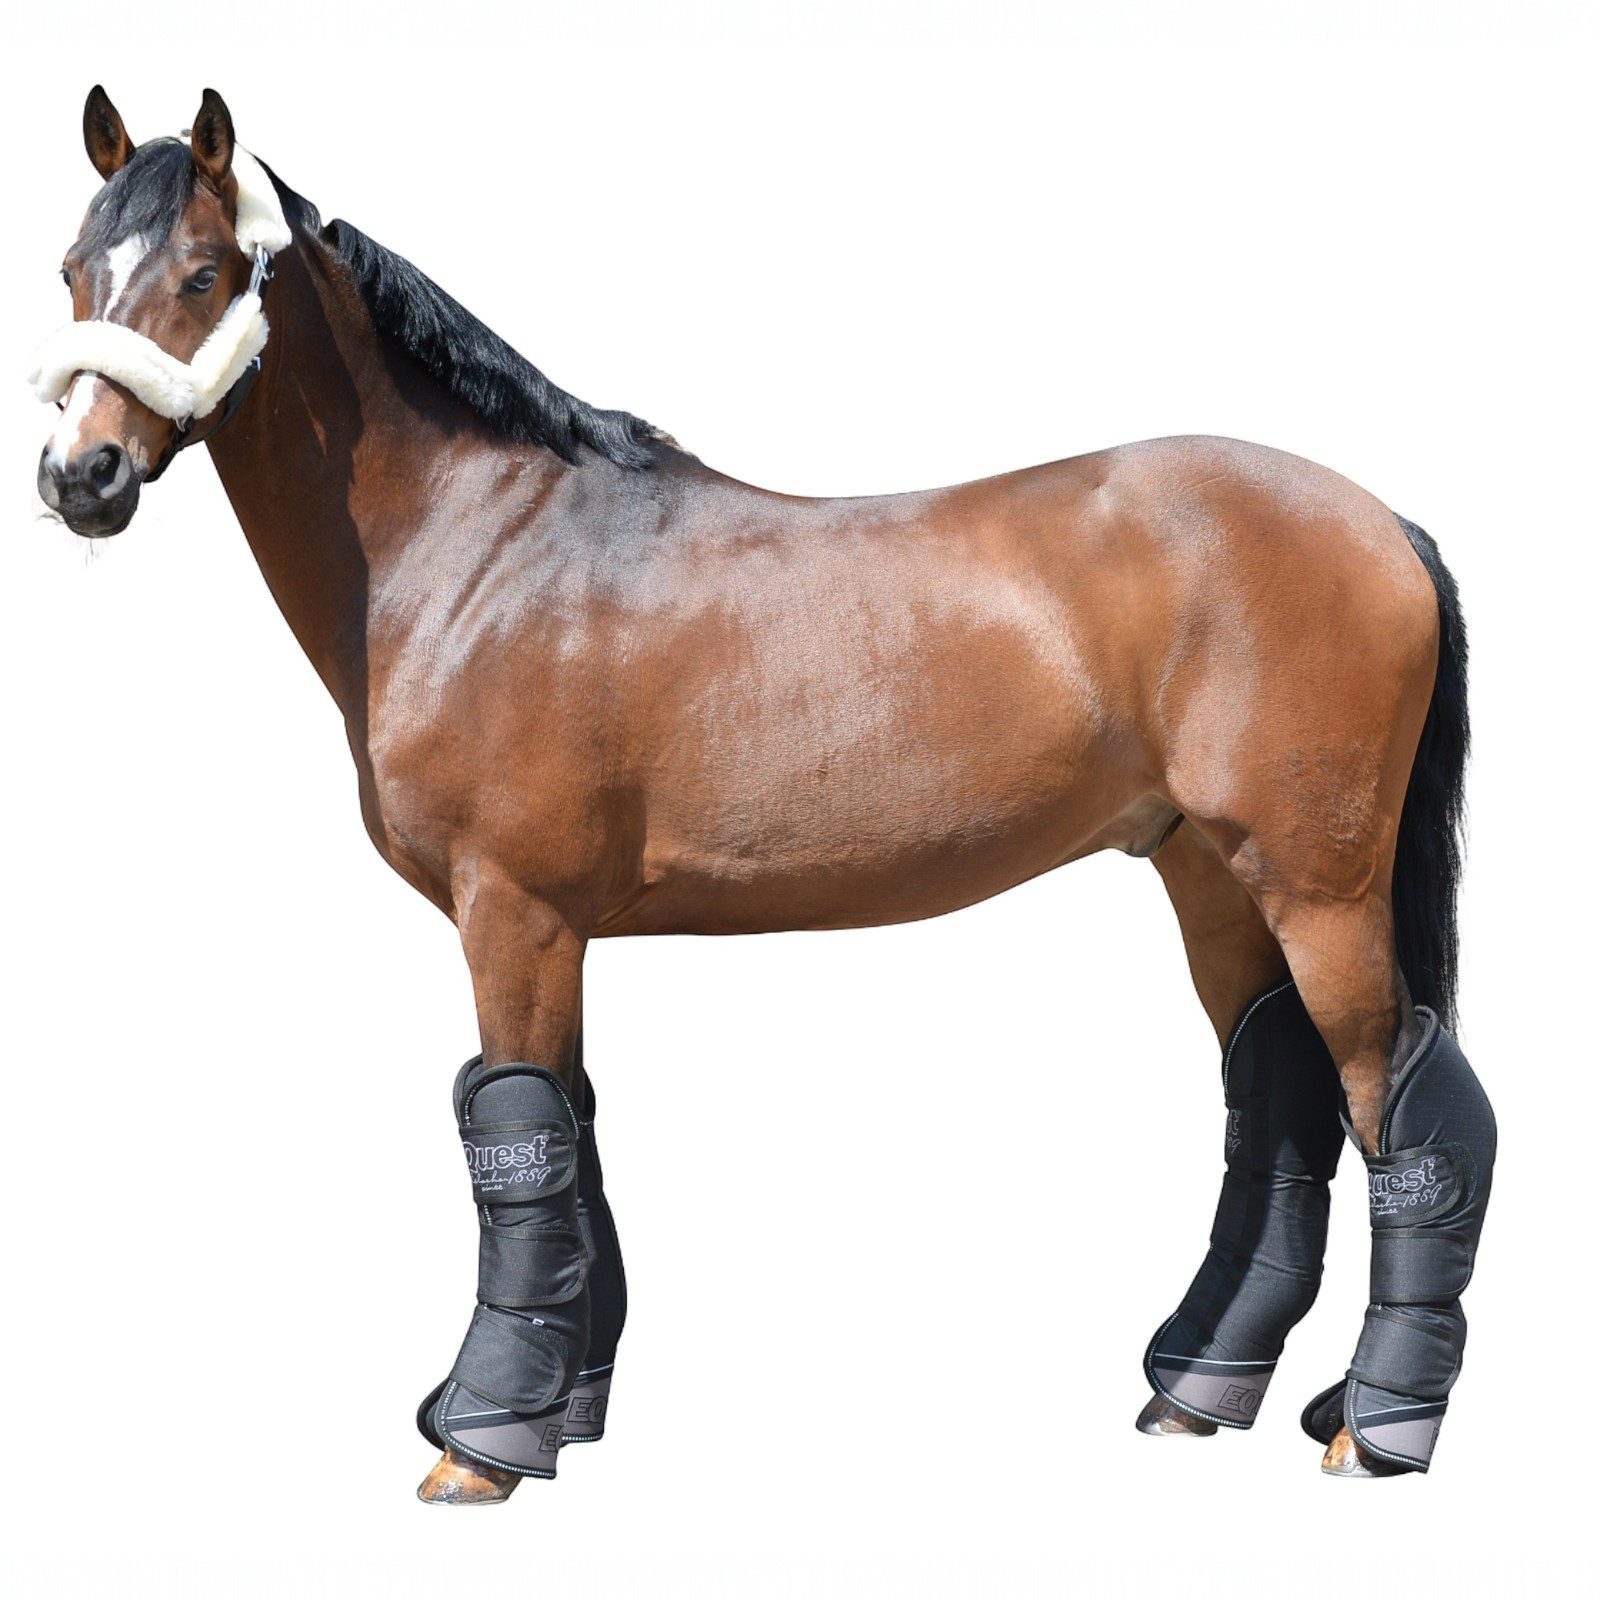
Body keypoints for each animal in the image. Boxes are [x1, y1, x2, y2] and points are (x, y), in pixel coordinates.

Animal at [30, 87, 1493, 1503]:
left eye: (205, 271)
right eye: (70, 269)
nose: (78, 476)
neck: (480, 551)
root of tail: (1386, 525)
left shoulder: (513, 912)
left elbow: (517, 1145)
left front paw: (483, 1442)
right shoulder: (554, 931)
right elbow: (565, 1136)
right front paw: (557, 1414)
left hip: (1320, 887)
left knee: (1396, 1102)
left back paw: (1375, 1431)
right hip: (1209, 875)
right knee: (1281, 1092)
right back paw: (1197, 1393)